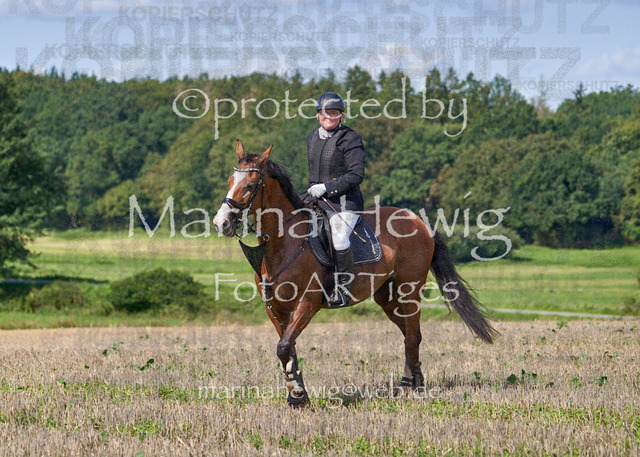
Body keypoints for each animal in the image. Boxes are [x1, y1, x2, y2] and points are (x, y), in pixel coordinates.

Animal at [213, 140, 498, 407]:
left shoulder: (308, 302)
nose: (221, 223)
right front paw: (297, 395)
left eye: (250, 185)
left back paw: (406, 386)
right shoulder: (275, 308)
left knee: (411, 335)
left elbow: (283, 347)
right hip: (387, 297)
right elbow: (288, 349)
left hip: (409, 290)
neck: (284, 242)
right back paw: (417, 383)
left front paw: (298, 396)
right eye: (229, 181)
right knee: (411, 334)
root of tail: (418, 220)